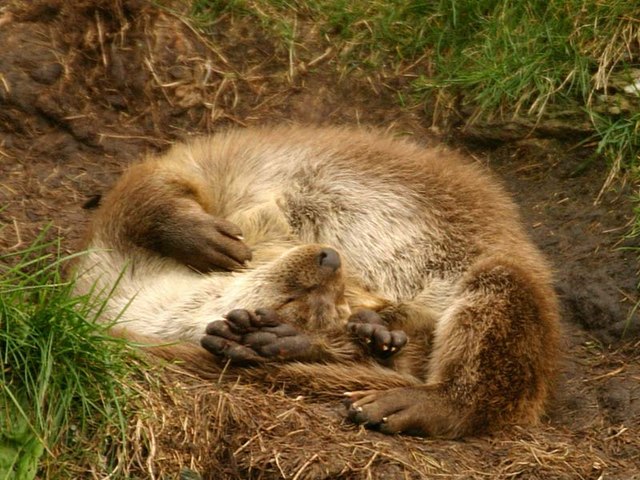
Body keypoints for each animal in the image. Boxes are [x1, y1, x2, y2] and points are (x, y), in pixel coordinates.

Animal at [74, 126, 560, 438]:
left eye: (340, 298)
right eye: (298, 298)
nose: (330, 257)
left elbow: (154, 187)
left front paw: (207, 237)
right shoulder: (103, 258)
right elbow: (146, 190)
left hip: (504, 276)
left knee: (492, 371)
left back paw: (406, 398)